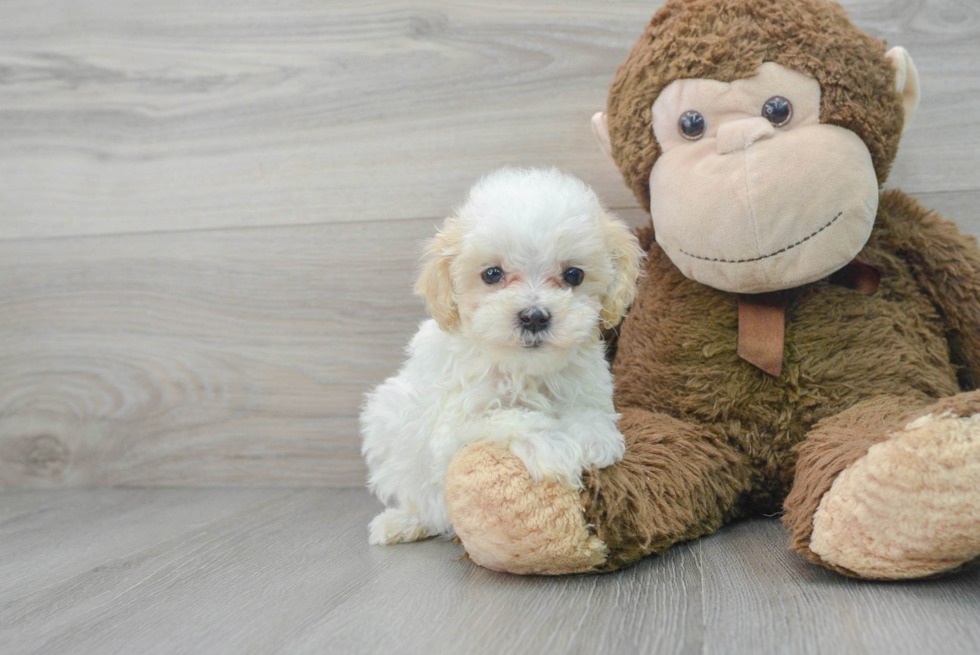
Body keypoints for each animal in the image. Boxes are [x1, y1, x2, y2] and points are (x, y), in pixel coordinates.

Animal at [360, 167, 644, 544]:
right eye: (492, 274)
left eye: (574, 275)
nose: (534, 317)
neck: (525, 370)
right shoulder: (456, 423)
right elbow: (509, 416)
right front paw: (553, 446)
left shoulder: (587, 386)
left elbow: (588, 411)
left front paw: (595, 437)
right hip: (387, 423)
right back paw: (402, 521)